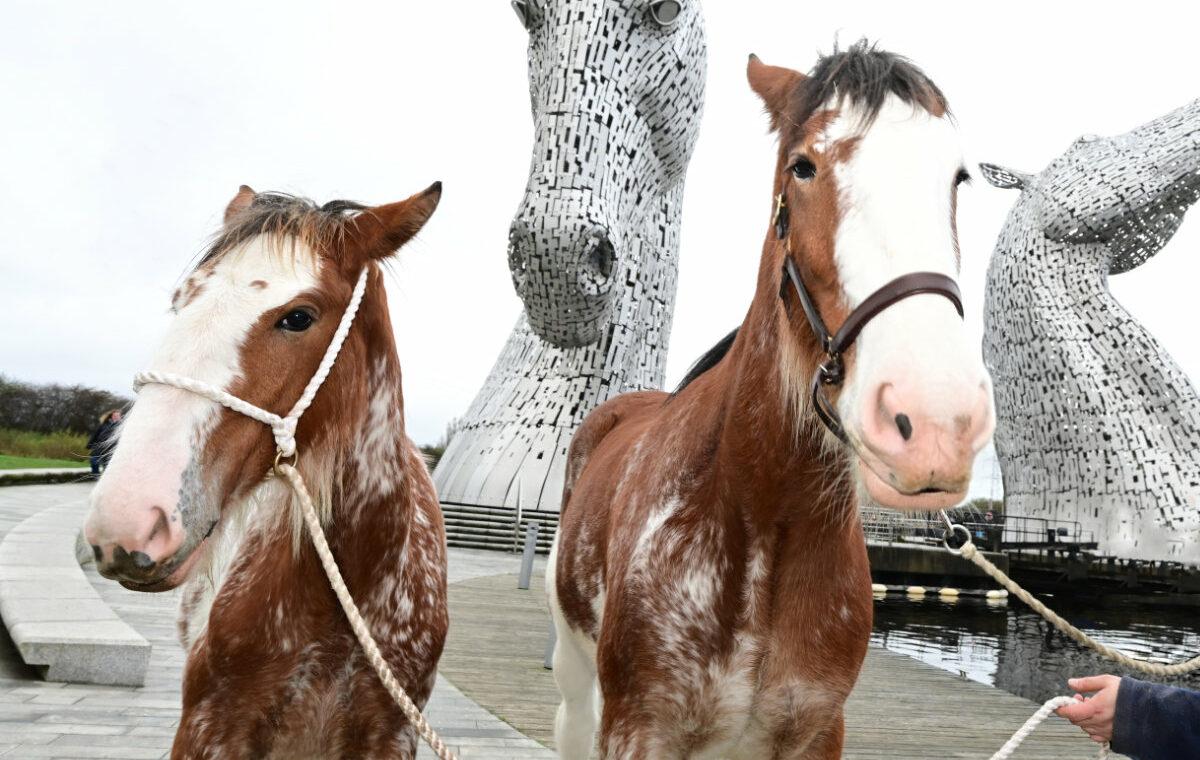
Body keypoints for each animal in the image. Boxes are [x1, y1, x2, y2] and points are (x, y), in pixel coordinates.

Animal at [549, 44, 988, 753]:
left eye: (957, 178)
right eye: (802, 167)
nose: (935, 420)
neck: (765, 516)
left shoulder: (816, 732)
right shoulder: (638, 728)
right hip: (574, 683)